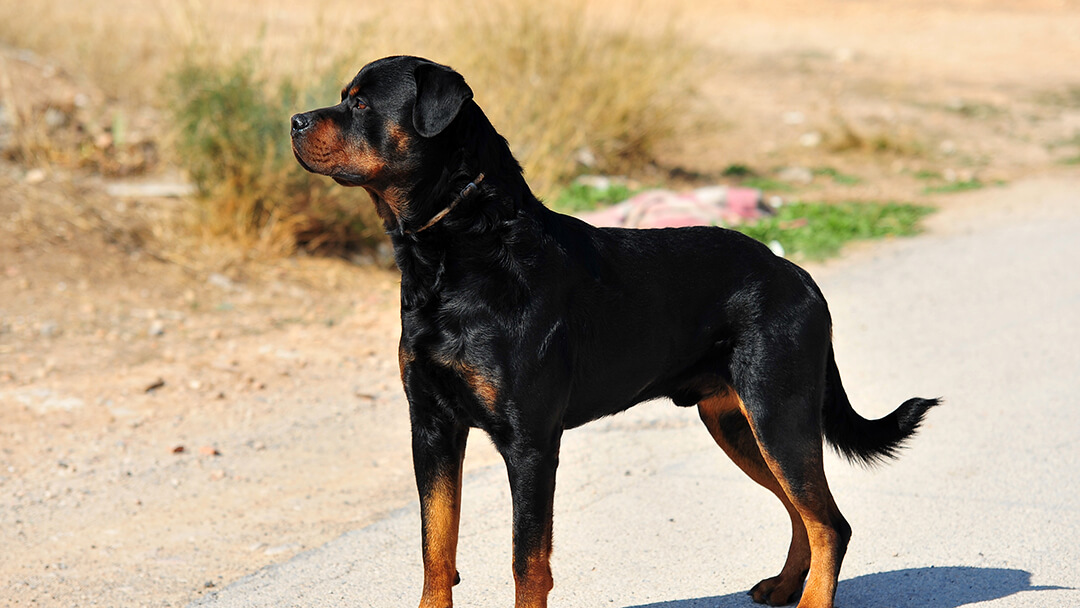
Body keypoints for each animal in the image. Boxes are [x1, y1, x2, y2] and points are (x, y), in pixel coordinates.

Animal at [291, 54, 941, 604]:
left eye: (362, 104)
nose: (294, 120)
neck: (453, 251)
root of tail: (799, 274)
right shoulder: (431, 427)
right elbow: (435, 546)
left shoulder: (530, 444)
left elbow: (527, 561)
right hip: (737, 424)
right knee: (800, 511)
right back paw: (783, 587)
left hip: (778, 413)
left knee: (829, 521)